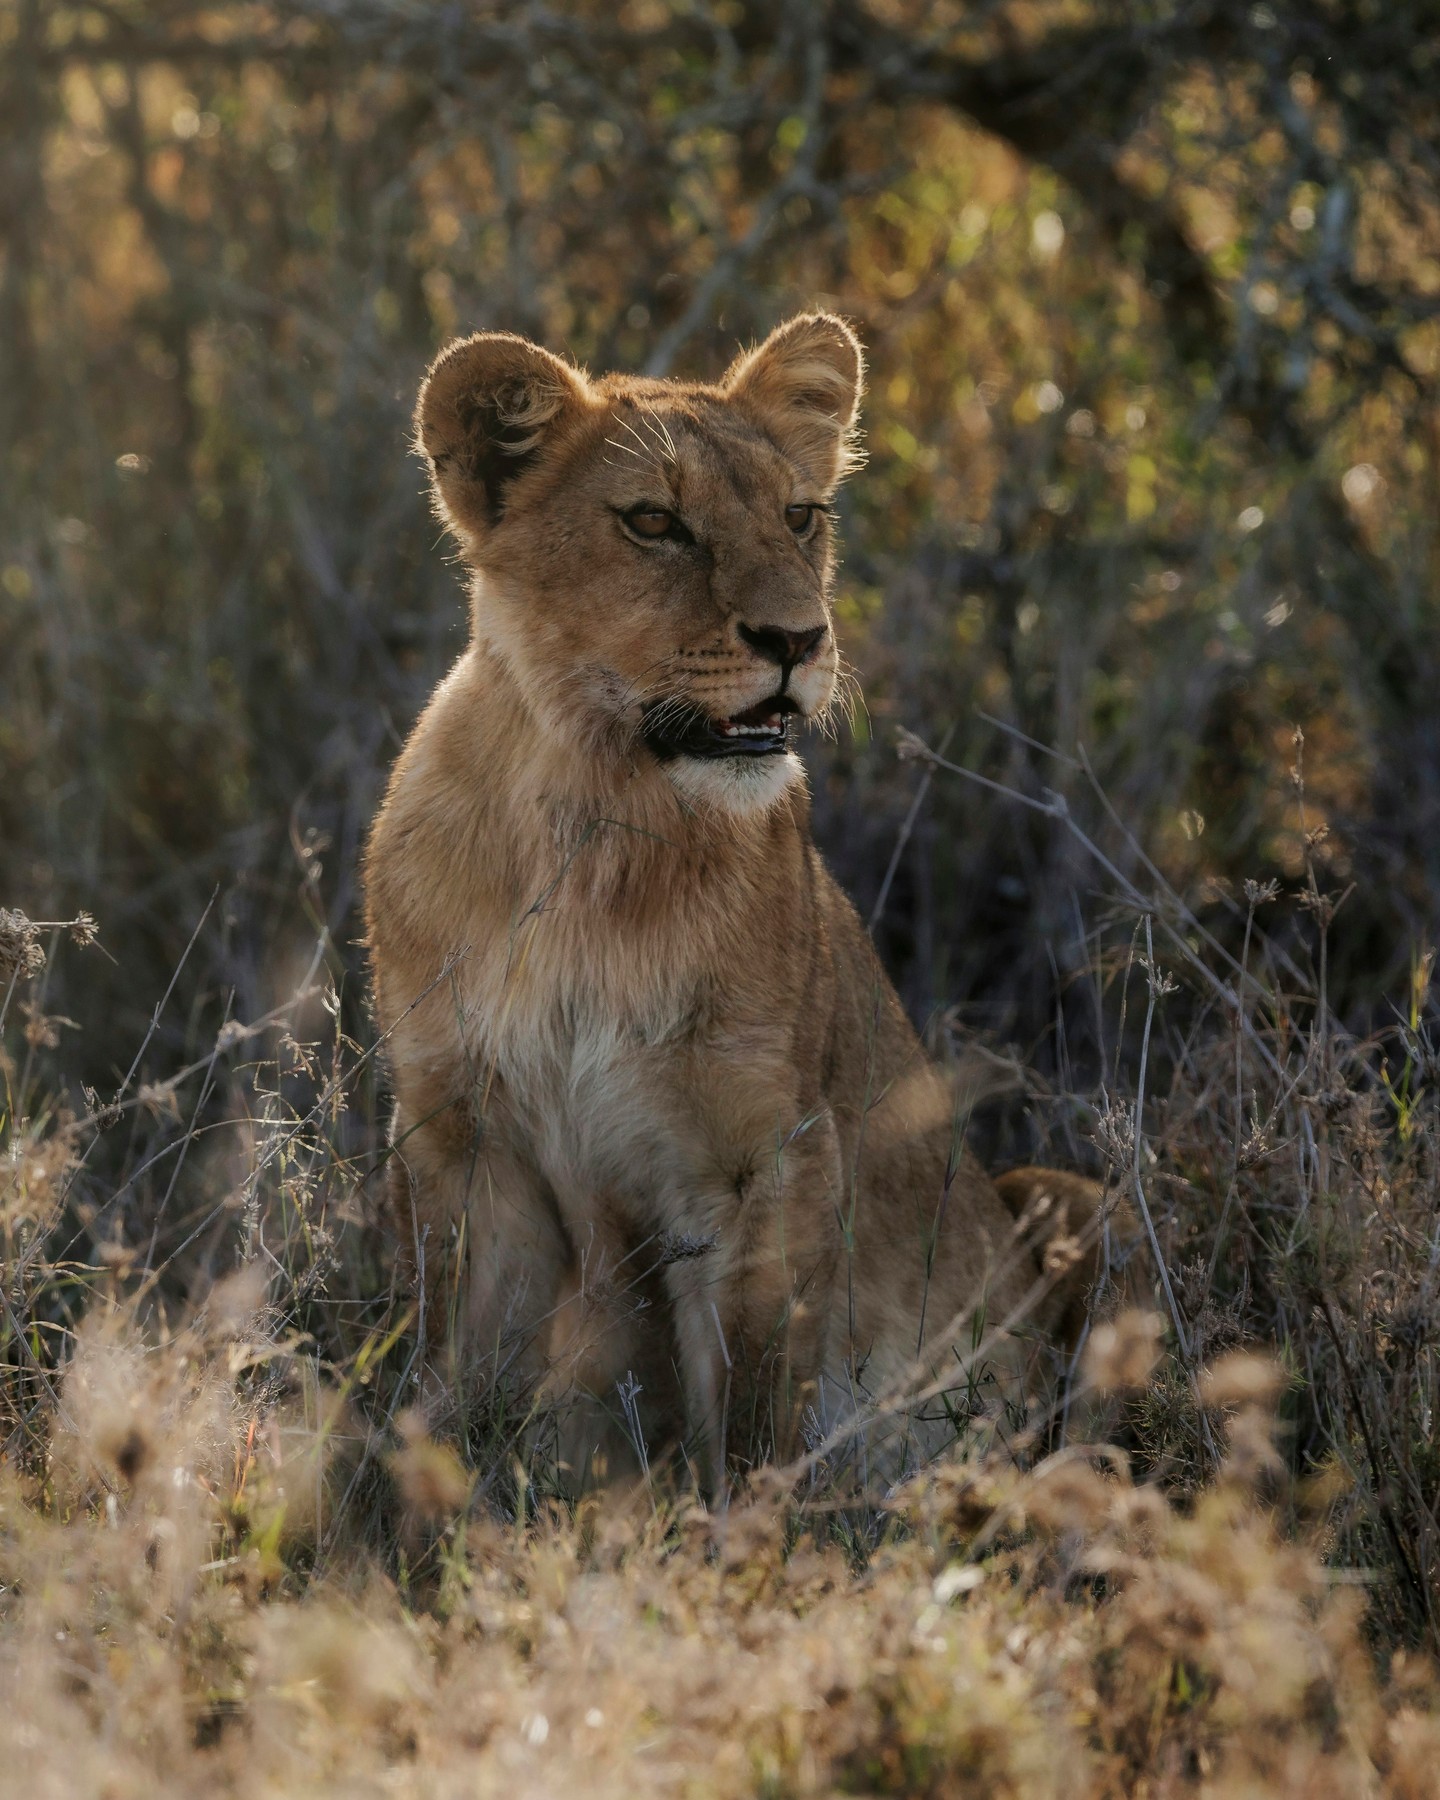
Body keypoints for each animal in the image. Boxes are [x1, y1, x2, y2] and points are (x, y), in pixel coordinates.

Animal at [363, 312, 1110, 1492]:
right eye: (654, 523)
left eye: (801, 515)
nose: (798, 640)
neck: (594, 820)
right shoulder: (461, 1135)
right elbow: (443, 1394)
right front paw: (414, 1529)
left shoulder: (767, 1155)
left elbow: (755, 1413)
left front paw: (750, 1540)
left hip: (1063, 1198)